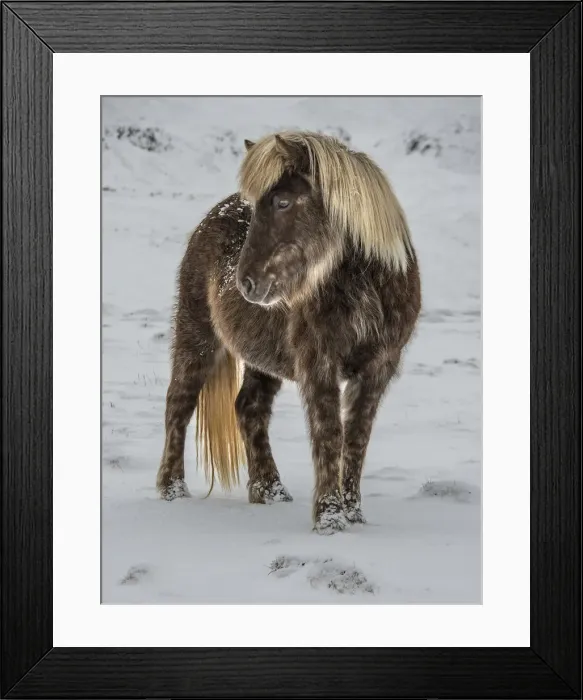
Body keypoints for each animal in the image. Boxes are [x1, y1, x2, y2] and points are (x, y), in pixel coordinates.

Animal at [156, 131, 421, 534]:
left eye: (283, 202)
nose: (246, 282)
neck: (365, 285)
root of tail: (211, 217)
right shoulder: (319, 362)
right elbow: (329, 434)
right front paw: (329, 520)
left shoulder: (379, 368)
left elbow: (356, 439)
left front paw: (354, 516)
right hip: (197, 335)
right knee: (179, 404)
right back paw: (172, 490)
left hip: (260, 357)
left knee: (249, 408)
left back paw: (270, 491)